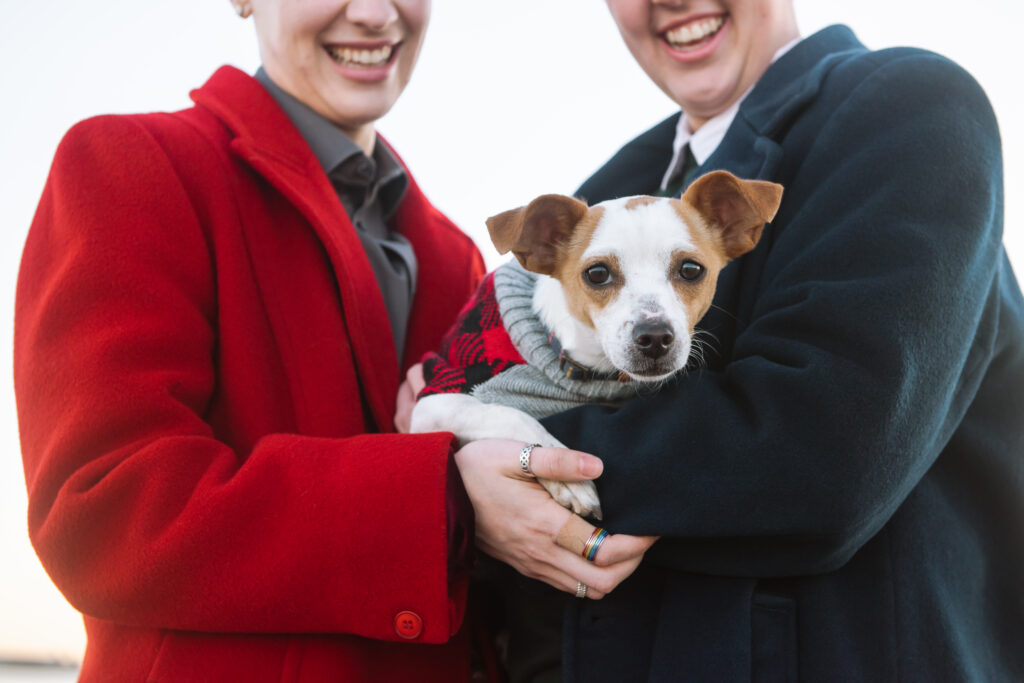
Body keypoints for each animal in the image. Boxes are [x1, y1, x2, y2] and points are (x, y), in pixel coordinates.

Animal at [411, 171, 778, 518]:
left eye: (691, 269)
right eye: (597, 274)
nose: (655, 336)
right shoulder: (434, 405)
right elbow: (512, 415)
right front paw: (568, 478)